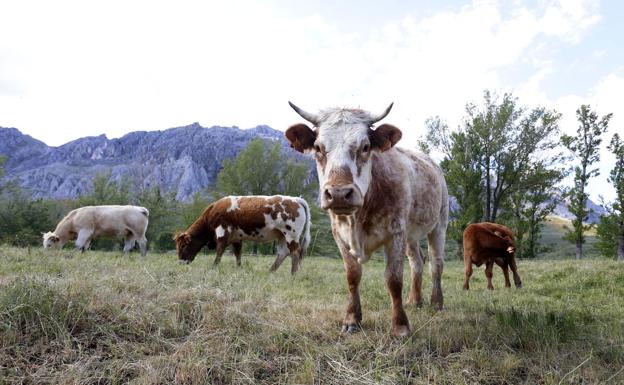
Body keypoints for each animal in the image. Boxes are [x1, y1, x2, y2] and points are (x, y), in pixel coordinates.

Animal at [173, 195, 312, 272]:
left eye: (183, 246)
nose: (180, 262)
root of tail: (296, 199)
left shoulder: (222, 231)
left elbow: (220, 250)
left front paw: (214, 267)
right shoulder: (236, 238)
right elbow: (238, 253)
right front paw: (239, 268)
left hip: (291, 234)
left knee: (295, 253)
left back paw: (293, 275)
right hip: (281, 235)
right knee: (283, 252)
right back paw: (270, 272)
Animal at [286, 102, 450, 336]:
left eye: (365, 147)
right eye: (318, 148)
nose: (338, 193)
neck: (357, 219)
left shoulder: (395, 233)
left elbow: (393, 279)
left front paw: (400, 326)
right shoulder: (340, 236)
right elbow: (353, 276)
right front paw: (352, 319)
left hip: (439, 224)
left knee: (436, 263)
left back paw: (436, 303)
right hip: (411, 233)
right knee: (417, 261)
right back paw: (414, 300)